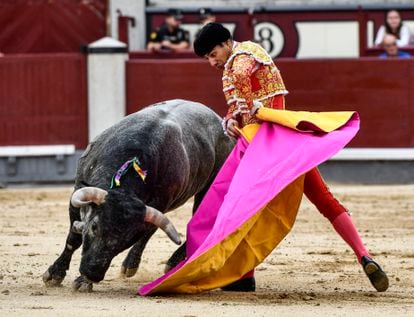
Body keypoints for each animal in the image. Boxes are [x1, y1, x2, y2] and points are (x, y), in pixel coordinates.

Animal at [43, 100, 236, 290]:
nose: (92, 273)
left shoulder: (159, 205)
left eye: (127, 240)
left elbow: (145, 234)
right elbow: (73, 238)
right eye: (94, 227)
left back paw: (163, 263)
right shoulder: (77, 195)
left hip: (208, 189)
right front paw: (55, 274)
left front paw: (83, 281)